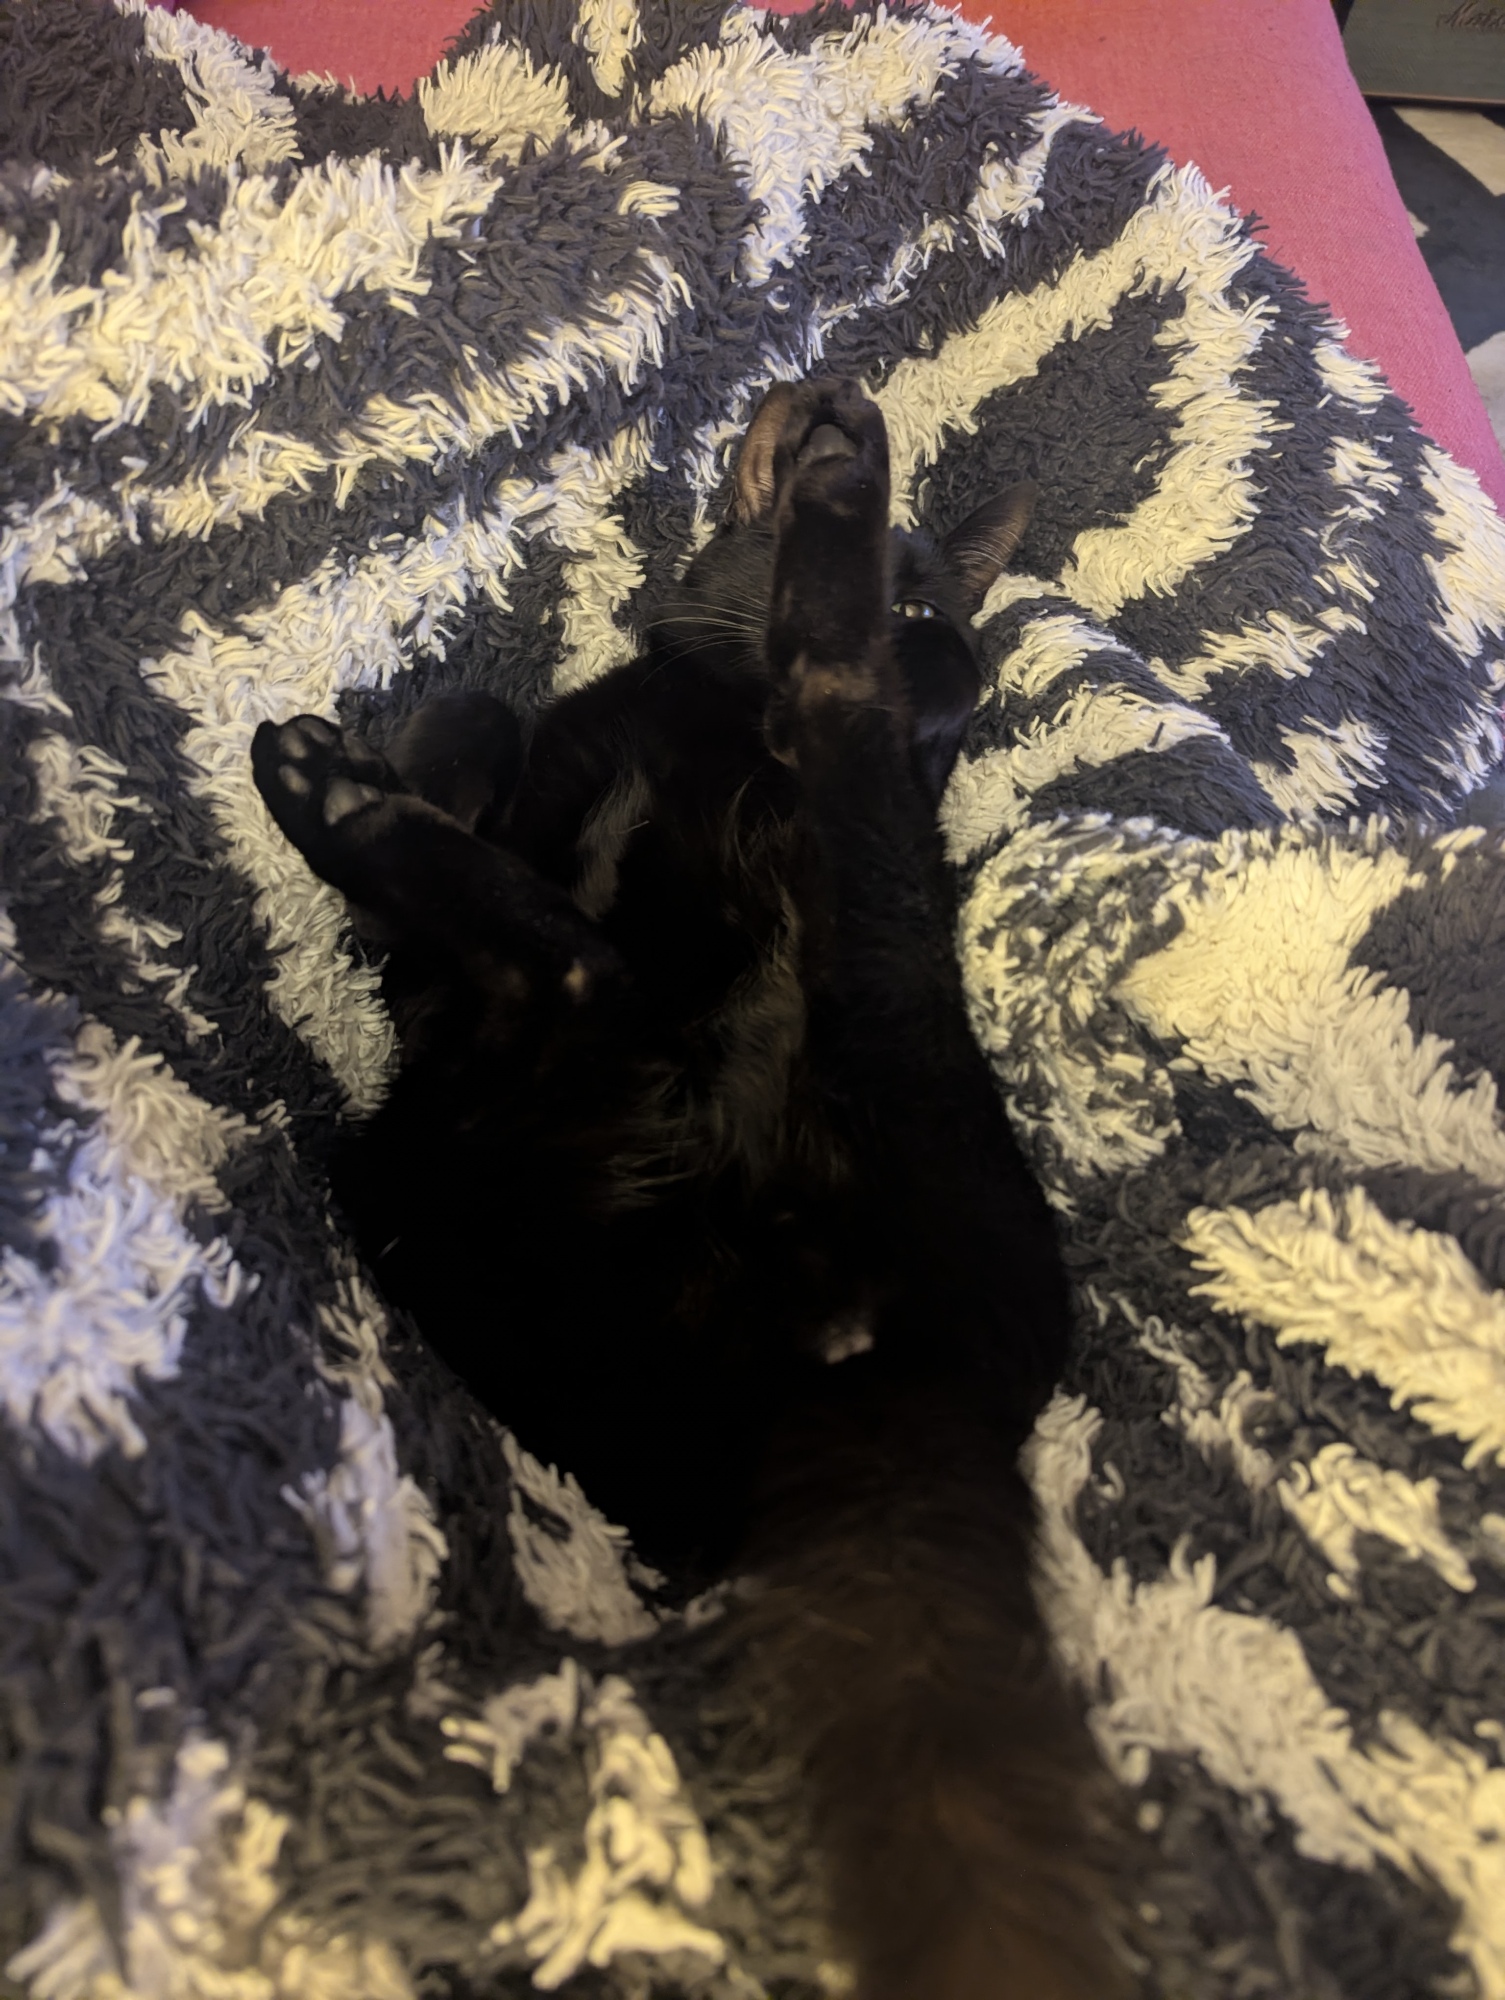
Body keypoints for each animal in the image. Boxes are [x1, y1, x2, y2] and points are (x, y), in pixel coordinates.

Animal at [252, 378, 1132, 2000]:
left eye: (932, 584)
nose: (823, 404)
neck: (704, 692)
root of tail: (881, 1385)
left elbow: (912, 680)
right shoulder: (455, 932)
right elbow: (481, 725)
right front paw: (422, 769)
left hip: (839, 962)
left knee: (625, 926)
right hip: (462, 1139)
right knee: (568, 955)